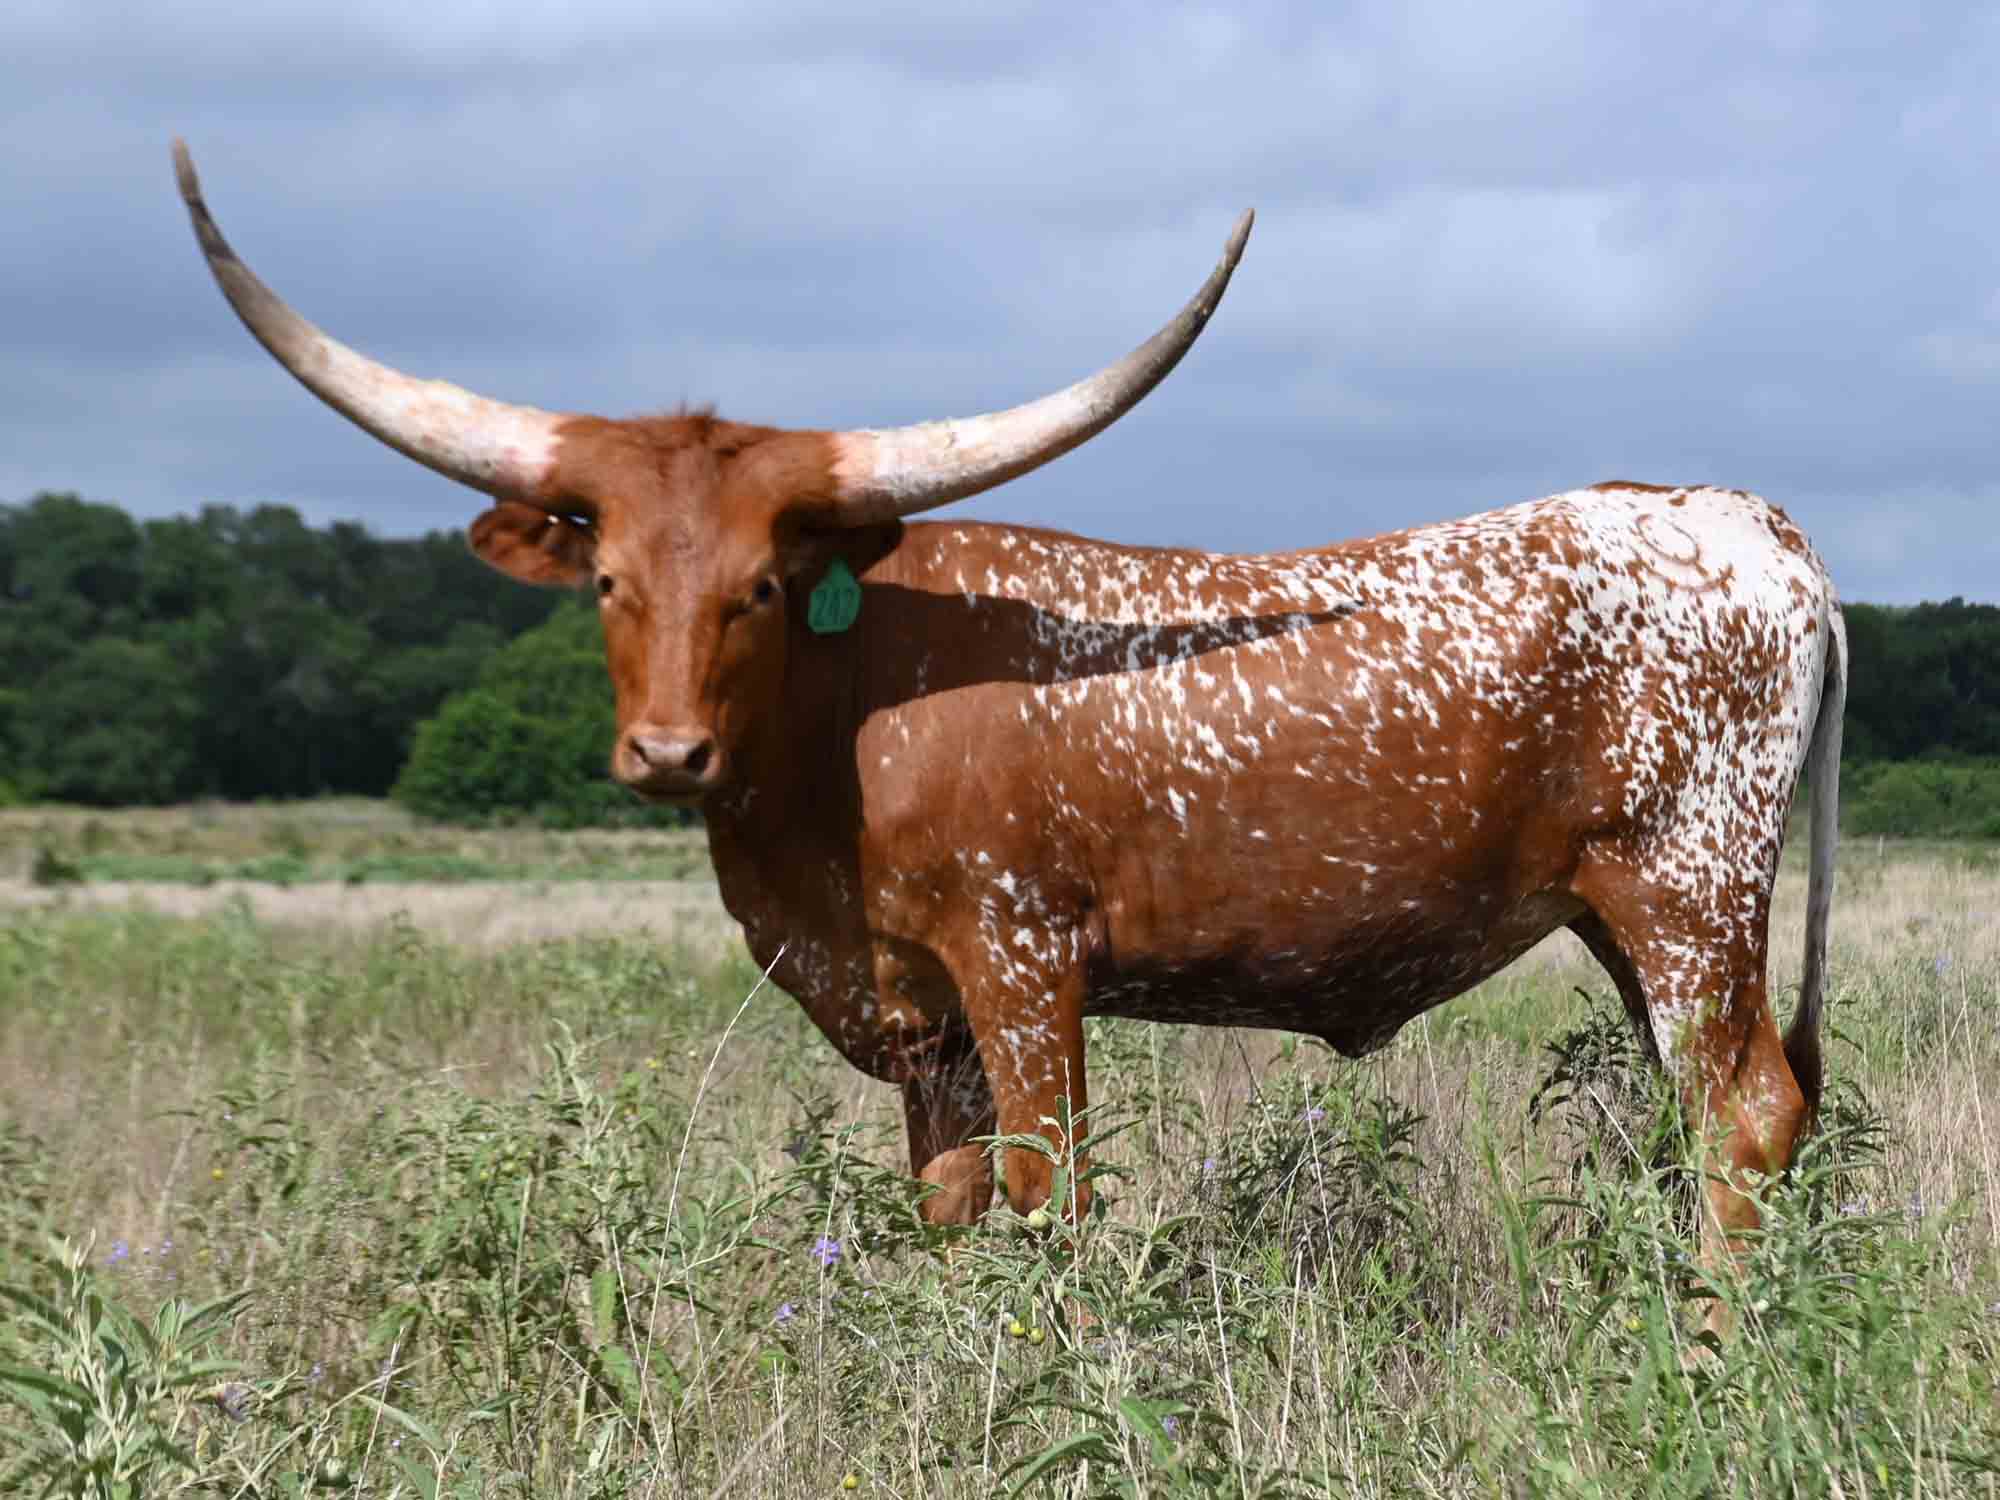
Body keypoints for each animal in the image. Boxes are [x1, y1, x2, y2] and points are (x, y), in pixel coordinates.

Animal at [174, 141, 1844, 1278]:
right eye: (605, 580)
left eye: (764, 585)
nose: (666, 751)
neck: (843, 734)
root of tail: (1752, 524)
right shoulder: (925, 1016)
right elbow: (954, 1210)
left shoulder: (1025, 957)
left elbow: (1055, 1199)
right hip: (1621, 912)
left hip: (1689, 893)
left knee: (1745, 1114)